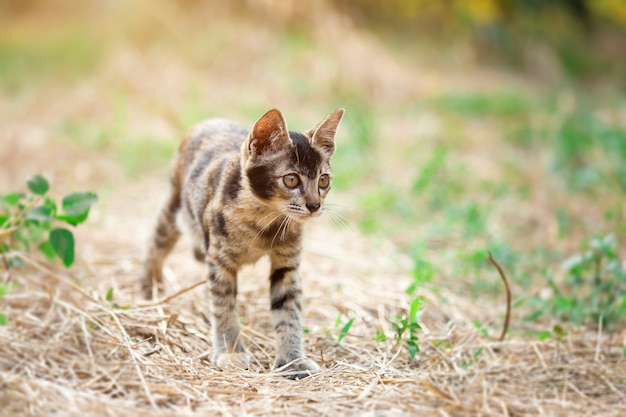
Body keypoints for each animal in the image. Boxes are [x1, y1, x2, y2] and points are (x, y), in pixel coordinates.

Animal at [142, 106, 344, 376]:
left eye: (324, 180)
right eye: (291, 180)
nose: (314, 205)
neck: (265, 220)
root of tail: (210, 120)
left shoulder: (287, 264)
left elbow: (289, 310)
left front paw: (293, 360)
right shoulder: (219, 261)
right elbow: (224, 306)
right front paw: (230, 352)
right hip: (174, 209)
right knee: (155, 244)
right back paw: (150, 289)